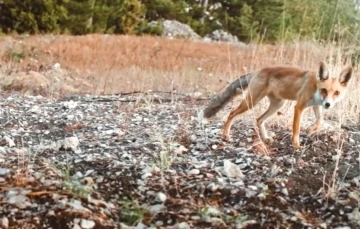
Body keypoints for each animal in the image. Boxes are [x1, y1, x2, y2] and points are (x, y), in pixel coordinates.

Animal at [204, 61, 352, 149]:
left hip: (278, 105)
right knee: (232, 113)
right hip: (252, 102)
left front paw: (310, 130)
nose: (328, 104)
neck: (316, 86)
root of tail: (258, 71)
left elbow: (319, 120)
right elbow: (296, 129)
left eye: (337, 93)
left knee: (259, 119)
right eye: (324, 90)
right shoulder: (299, 107)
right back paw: (225, 135)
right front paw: (296, 145)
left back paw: (265, 138)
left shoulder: (317, 106)